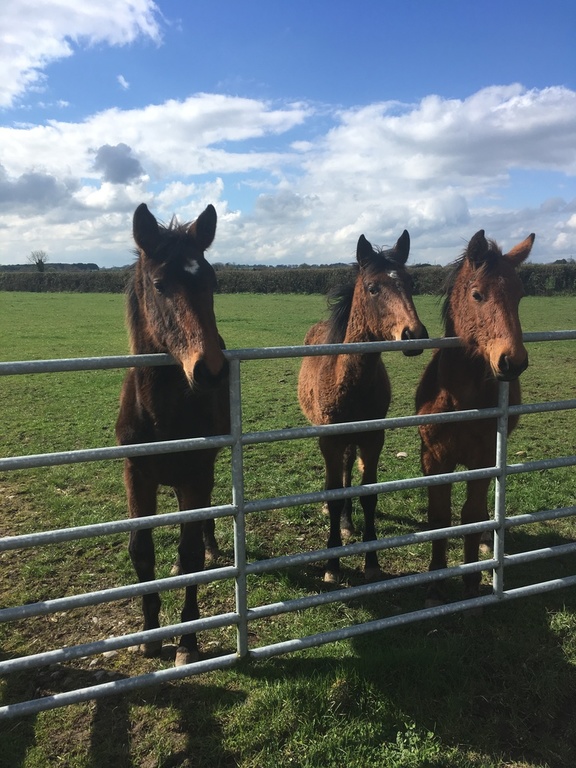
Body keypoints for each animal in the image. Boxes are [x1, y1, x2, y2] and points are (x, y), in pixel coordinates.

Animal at [298, 231, 428, 583]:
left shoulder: (372, 439)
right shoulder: (329, 439)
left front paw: (371, 561)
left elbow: (368, 494)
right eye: (373, 288)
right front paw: (332, 566)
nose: (413, 334)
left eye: (411, 283)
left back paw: (347, 521)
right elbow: (332, 492)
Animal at [415, 229, 535, 605]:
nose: (513, 361)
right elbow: (439, 517)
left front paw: (470, 582)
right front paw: (436, 583)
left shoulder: (483, 458)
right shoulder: (434, 458)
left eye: (520, 295)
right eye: (477, 293)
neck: (460, 399)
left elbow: (472, 514)